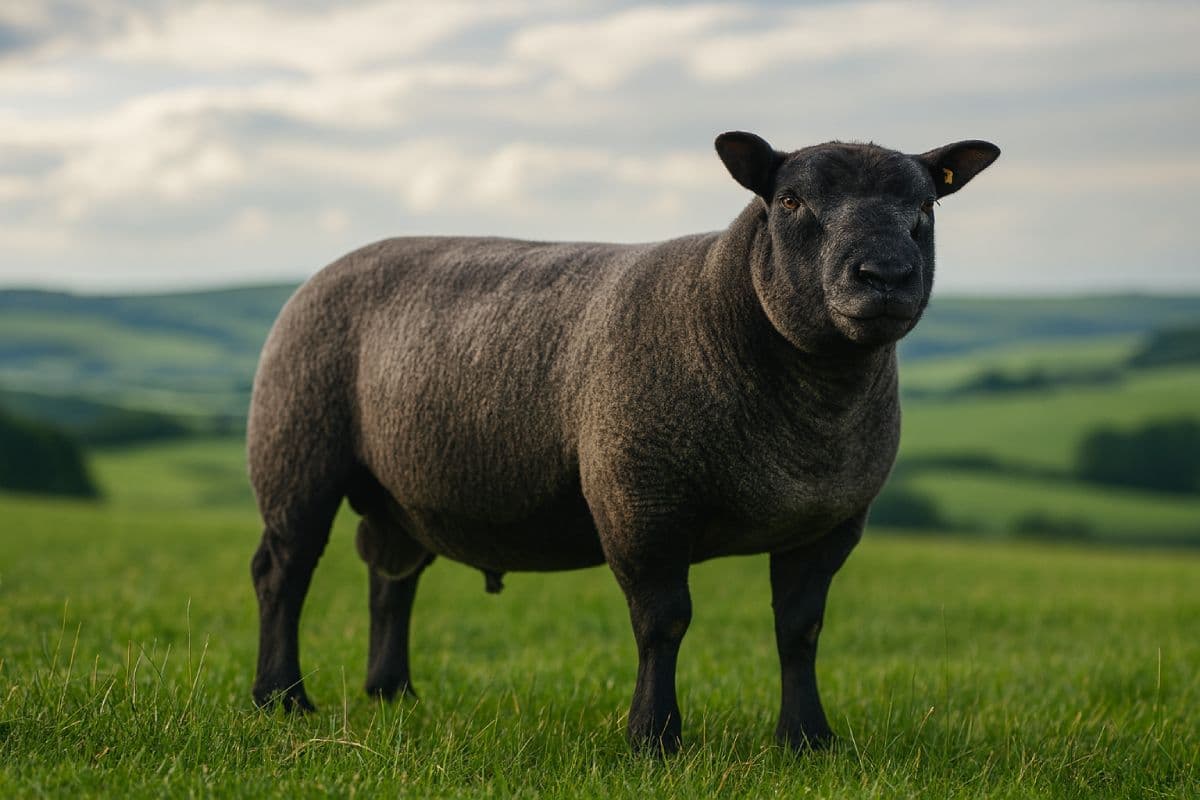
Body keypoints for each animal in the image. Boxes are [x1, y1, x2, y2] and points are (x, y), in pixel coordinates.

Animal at [248, 131, 999, 753]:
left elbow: (800, 632)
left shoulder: (828, 525)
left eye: (926, 206)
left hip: (399, 488)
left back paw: (391, 691)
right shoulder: (641, 502)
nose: (885, 276)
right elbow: (663, 624)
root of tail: (331, 267)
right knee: (282, 572)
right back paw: (281, 698)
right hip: (295, 447)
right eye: (791, 201)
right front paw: (654, 738)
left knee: (391, 575)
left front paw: (807, 740)